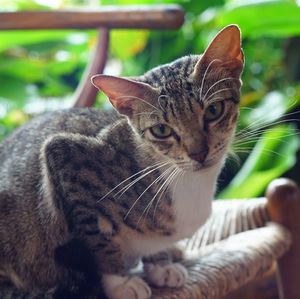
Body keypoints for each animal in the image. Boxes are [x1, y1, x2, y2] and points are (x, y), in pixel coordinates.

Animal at [0, 24, 244, 298]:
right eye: (161, 130)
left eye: (213, 111)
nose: (198, 153)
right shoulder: (64, 158)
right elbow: (97, 239)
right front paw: (120, 282)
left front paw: (160, 264)